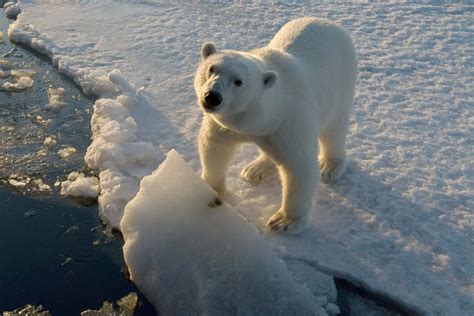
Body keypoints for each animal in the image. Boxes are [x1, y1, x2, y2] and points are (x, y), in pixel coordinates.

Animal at [193, 17, 356, 235]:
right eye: (212, 68)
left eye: (238, 81)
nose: (212, 97)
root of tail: (329, 23)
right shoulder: (226, 126)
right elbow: (214, 148)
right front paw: (210, 189)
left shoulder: (289, 121)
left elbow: (300, 166)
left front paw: (284, 221)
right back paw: (255, 169)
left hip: (342, 83)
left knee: (334, 129)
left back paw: (330, 166)